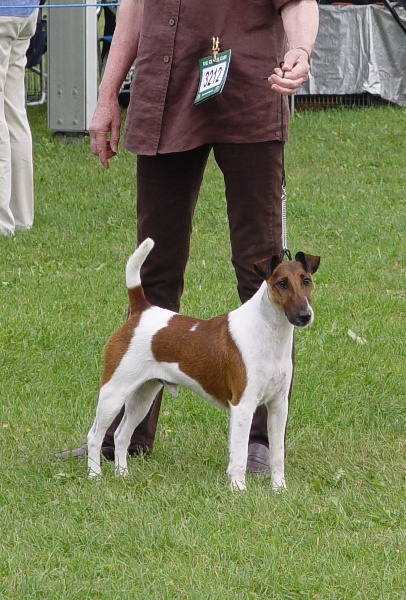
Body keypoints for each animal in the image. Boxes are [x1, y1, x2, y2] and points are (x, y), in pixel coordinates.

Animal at [87, 238, 320, 491]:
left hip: (143, 396)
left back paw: (123, 475)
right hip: (113, 393)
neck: (268, 334)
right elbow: (239, 455)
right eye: (281, 283)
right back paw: (94, 476)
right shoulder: (243, 405)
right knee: (94, 435)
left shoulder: (278, 406)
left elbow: (277, 454)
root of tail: (142, 310)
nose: (305, 315)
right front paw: (239, 489)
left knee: (121, 434)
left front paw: (279, 489)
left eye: (306, 281)